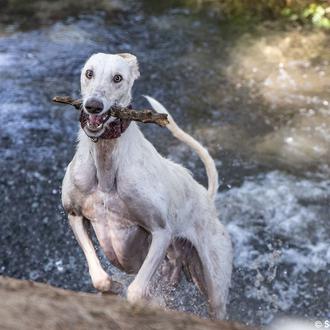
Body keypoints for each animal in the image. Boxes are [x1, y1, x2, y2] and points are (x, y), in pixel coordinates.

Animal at [61, 52, 232, 318]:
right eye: (89, 73)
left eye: (118, 78)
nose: (93, 106)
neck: (107, 163)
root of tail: (207, 196)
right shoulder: (74, 216)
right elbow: (99, 278)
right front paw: (113, 286)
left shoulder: (161, 232)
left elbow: (135, 292)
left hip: (214, 283)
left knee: (216, 306)